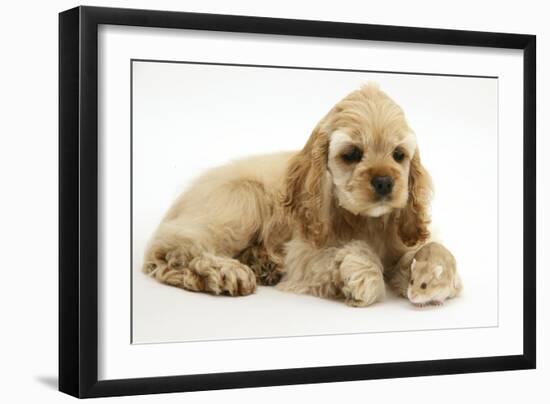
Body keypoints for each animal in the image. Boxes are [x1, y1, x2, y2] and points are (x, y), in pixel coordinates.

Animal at [143, 84, 458, 306]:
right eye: (352, 154)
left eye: (399, 155)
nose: (384, 182)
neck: (367, 221)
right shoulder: (304, 255)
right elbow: (349, 252)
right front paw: (363, 275)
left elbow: (422, 251)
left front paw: (440, 278)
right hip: (241, 205)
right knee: (171, 246)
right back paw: (223, 272)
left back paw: (262, 264)